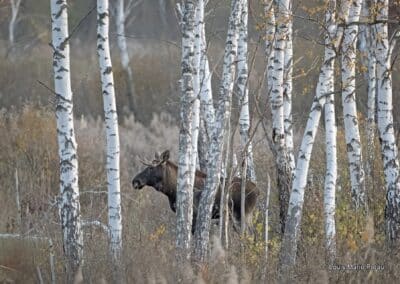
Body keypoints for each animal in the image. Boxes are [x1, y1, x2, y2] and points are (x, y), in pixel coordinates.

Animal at [130, 151, 258, 233]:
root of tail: (258, 190)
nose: (135, 181)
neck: (172, 191)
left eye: (151, 168)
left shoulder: (195, 214)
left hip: (244, 214)